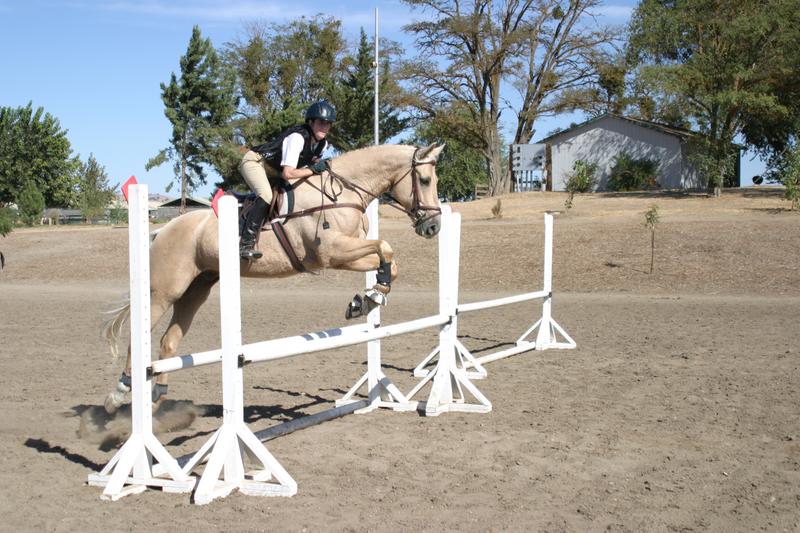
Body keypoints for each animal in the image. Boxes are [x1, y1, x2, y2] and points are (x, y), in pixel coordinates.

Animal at [103, 143, 444, 414]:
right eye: (425, 180)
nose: (433, 227)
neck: (342, 192)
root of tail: (163, 229)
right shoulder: (332, 253)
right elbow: (384, 248)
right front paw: (367, 298)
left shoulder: (351, 251)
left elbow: (388, 259)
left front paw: (368, 299)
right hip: (165, 291)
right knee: (139, 337)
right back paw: (119, 393)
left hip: (197, 289)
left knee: (168, 342)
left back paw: (158, 395)